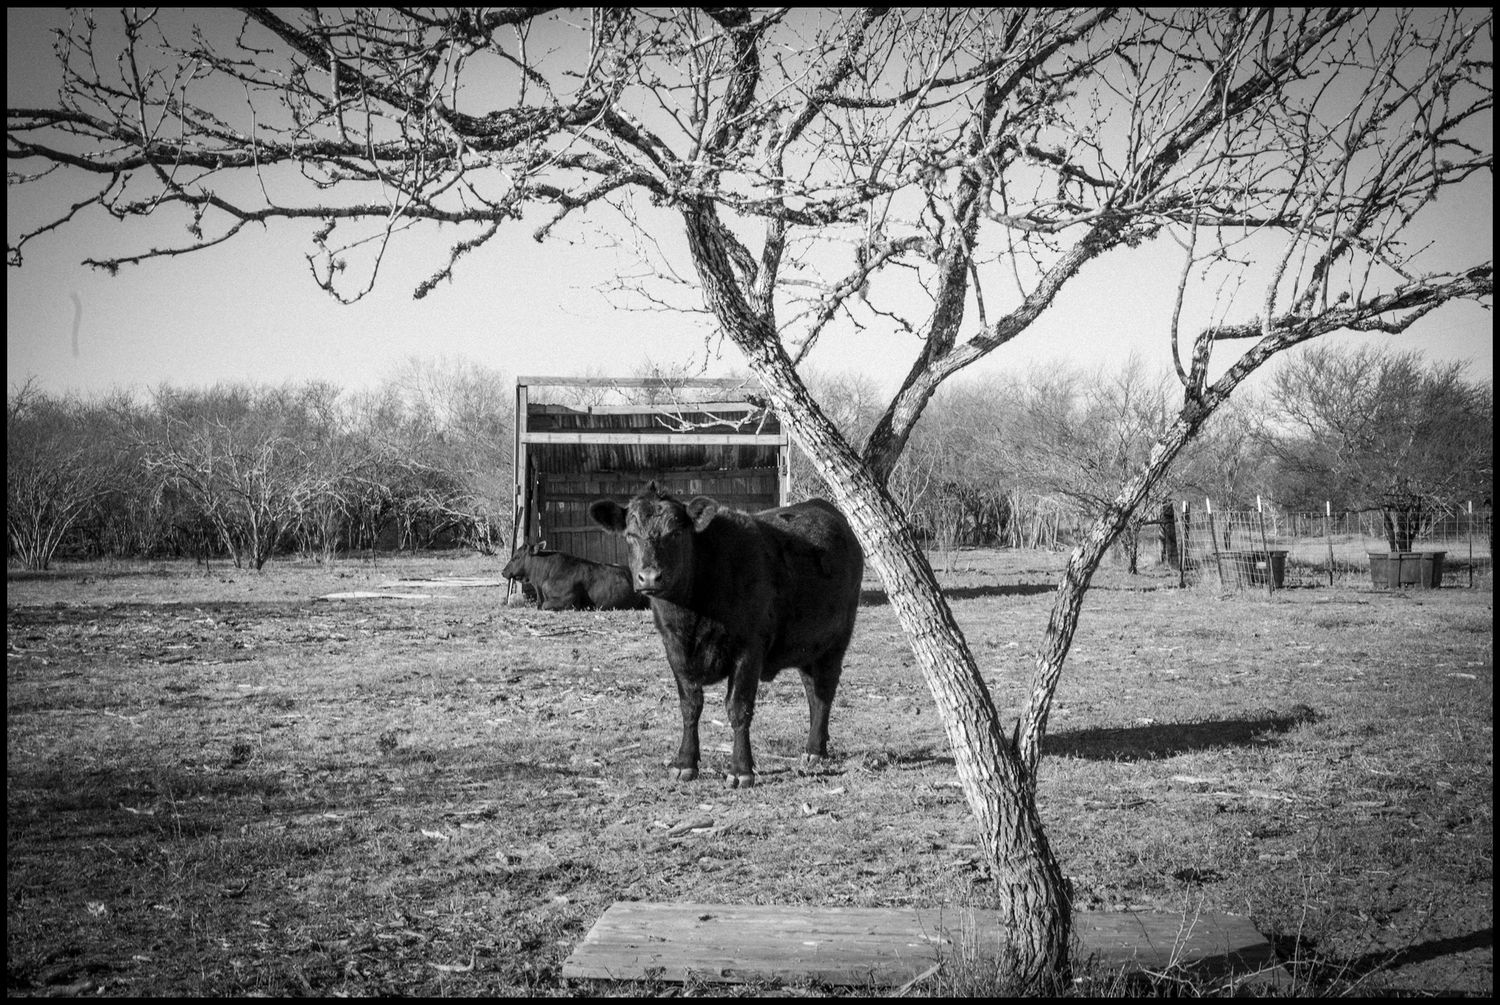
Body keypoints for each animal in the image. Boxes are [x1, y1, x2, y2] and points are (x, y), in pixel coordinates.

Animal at [589, 482, 864, 788]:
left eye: (676, 533)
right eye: (630, 536)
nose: (649, 577)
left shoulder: (748, 650)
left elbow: (738, 708)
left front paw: (741, 770)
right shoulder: (674, 650)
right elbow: (690, 706)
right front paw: (685, 763)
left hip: (836, 641)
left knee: (825, 691)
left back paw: (815, 749)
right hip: (807, 645)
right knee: (812, 691)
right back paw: (816, 748)